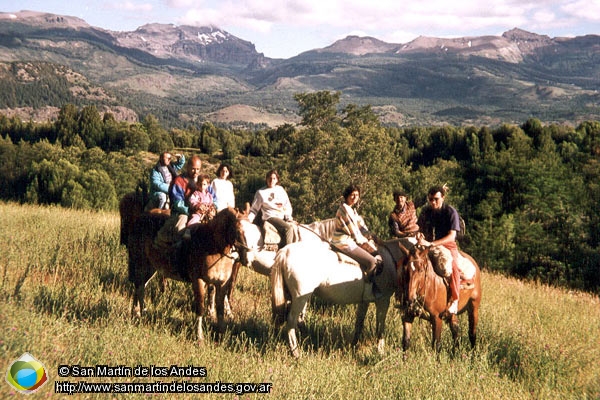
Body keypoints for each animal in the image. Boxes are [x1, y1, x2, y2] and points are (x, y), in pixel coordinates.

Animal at [126, 208, 248, 342]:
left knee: (140, 286)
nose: (246, 255)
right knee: (139, 287)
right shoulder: (199, 281)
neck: (212, 246)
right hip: (141, 264)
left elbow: (220, 309)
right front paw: (199, 337)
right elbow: (200, 308)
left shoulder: (221, 284)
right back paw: (140, 313)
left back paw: (138, 313)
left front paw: (221, 336)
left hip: (150, 268)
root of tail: (138, 220)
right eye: (238, 230)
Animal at [270, 239, 410, 358]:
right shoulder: (383, 301)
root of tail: (285, 252)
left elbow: (359, 323)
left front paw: (353, 347)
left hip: (293, 297)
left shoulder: (364, 302)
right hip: (300, 297)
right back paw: (296, 353)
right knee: (291, 321)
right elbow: (380, 327)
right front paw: (380, 352)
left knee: (294, 319)